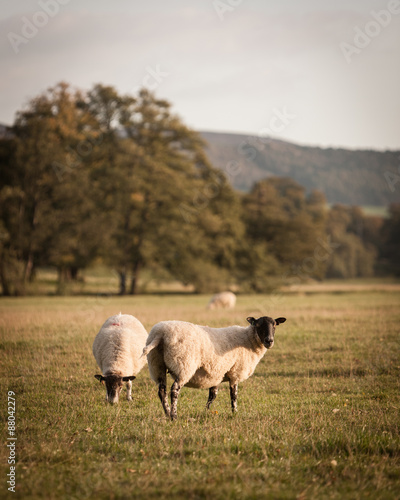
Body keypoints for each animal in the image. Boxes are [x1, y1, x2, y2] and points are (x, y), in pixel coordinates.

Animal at [142, 316, 286, 418]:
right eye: (258, 325)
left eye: (275, 325)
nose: (269, 341)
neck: (248, 340)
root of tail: (160, 334)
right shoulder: (235, 373)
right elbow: (233, 395)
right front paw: (235, 412)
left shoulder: (217, 374)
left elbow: (213, 395)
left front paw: (205, 411)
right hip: (184, 365)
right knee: (174, 390)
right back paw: (174, 415)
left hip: (157, 365)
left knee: (162, 391)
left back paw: (167, 413)